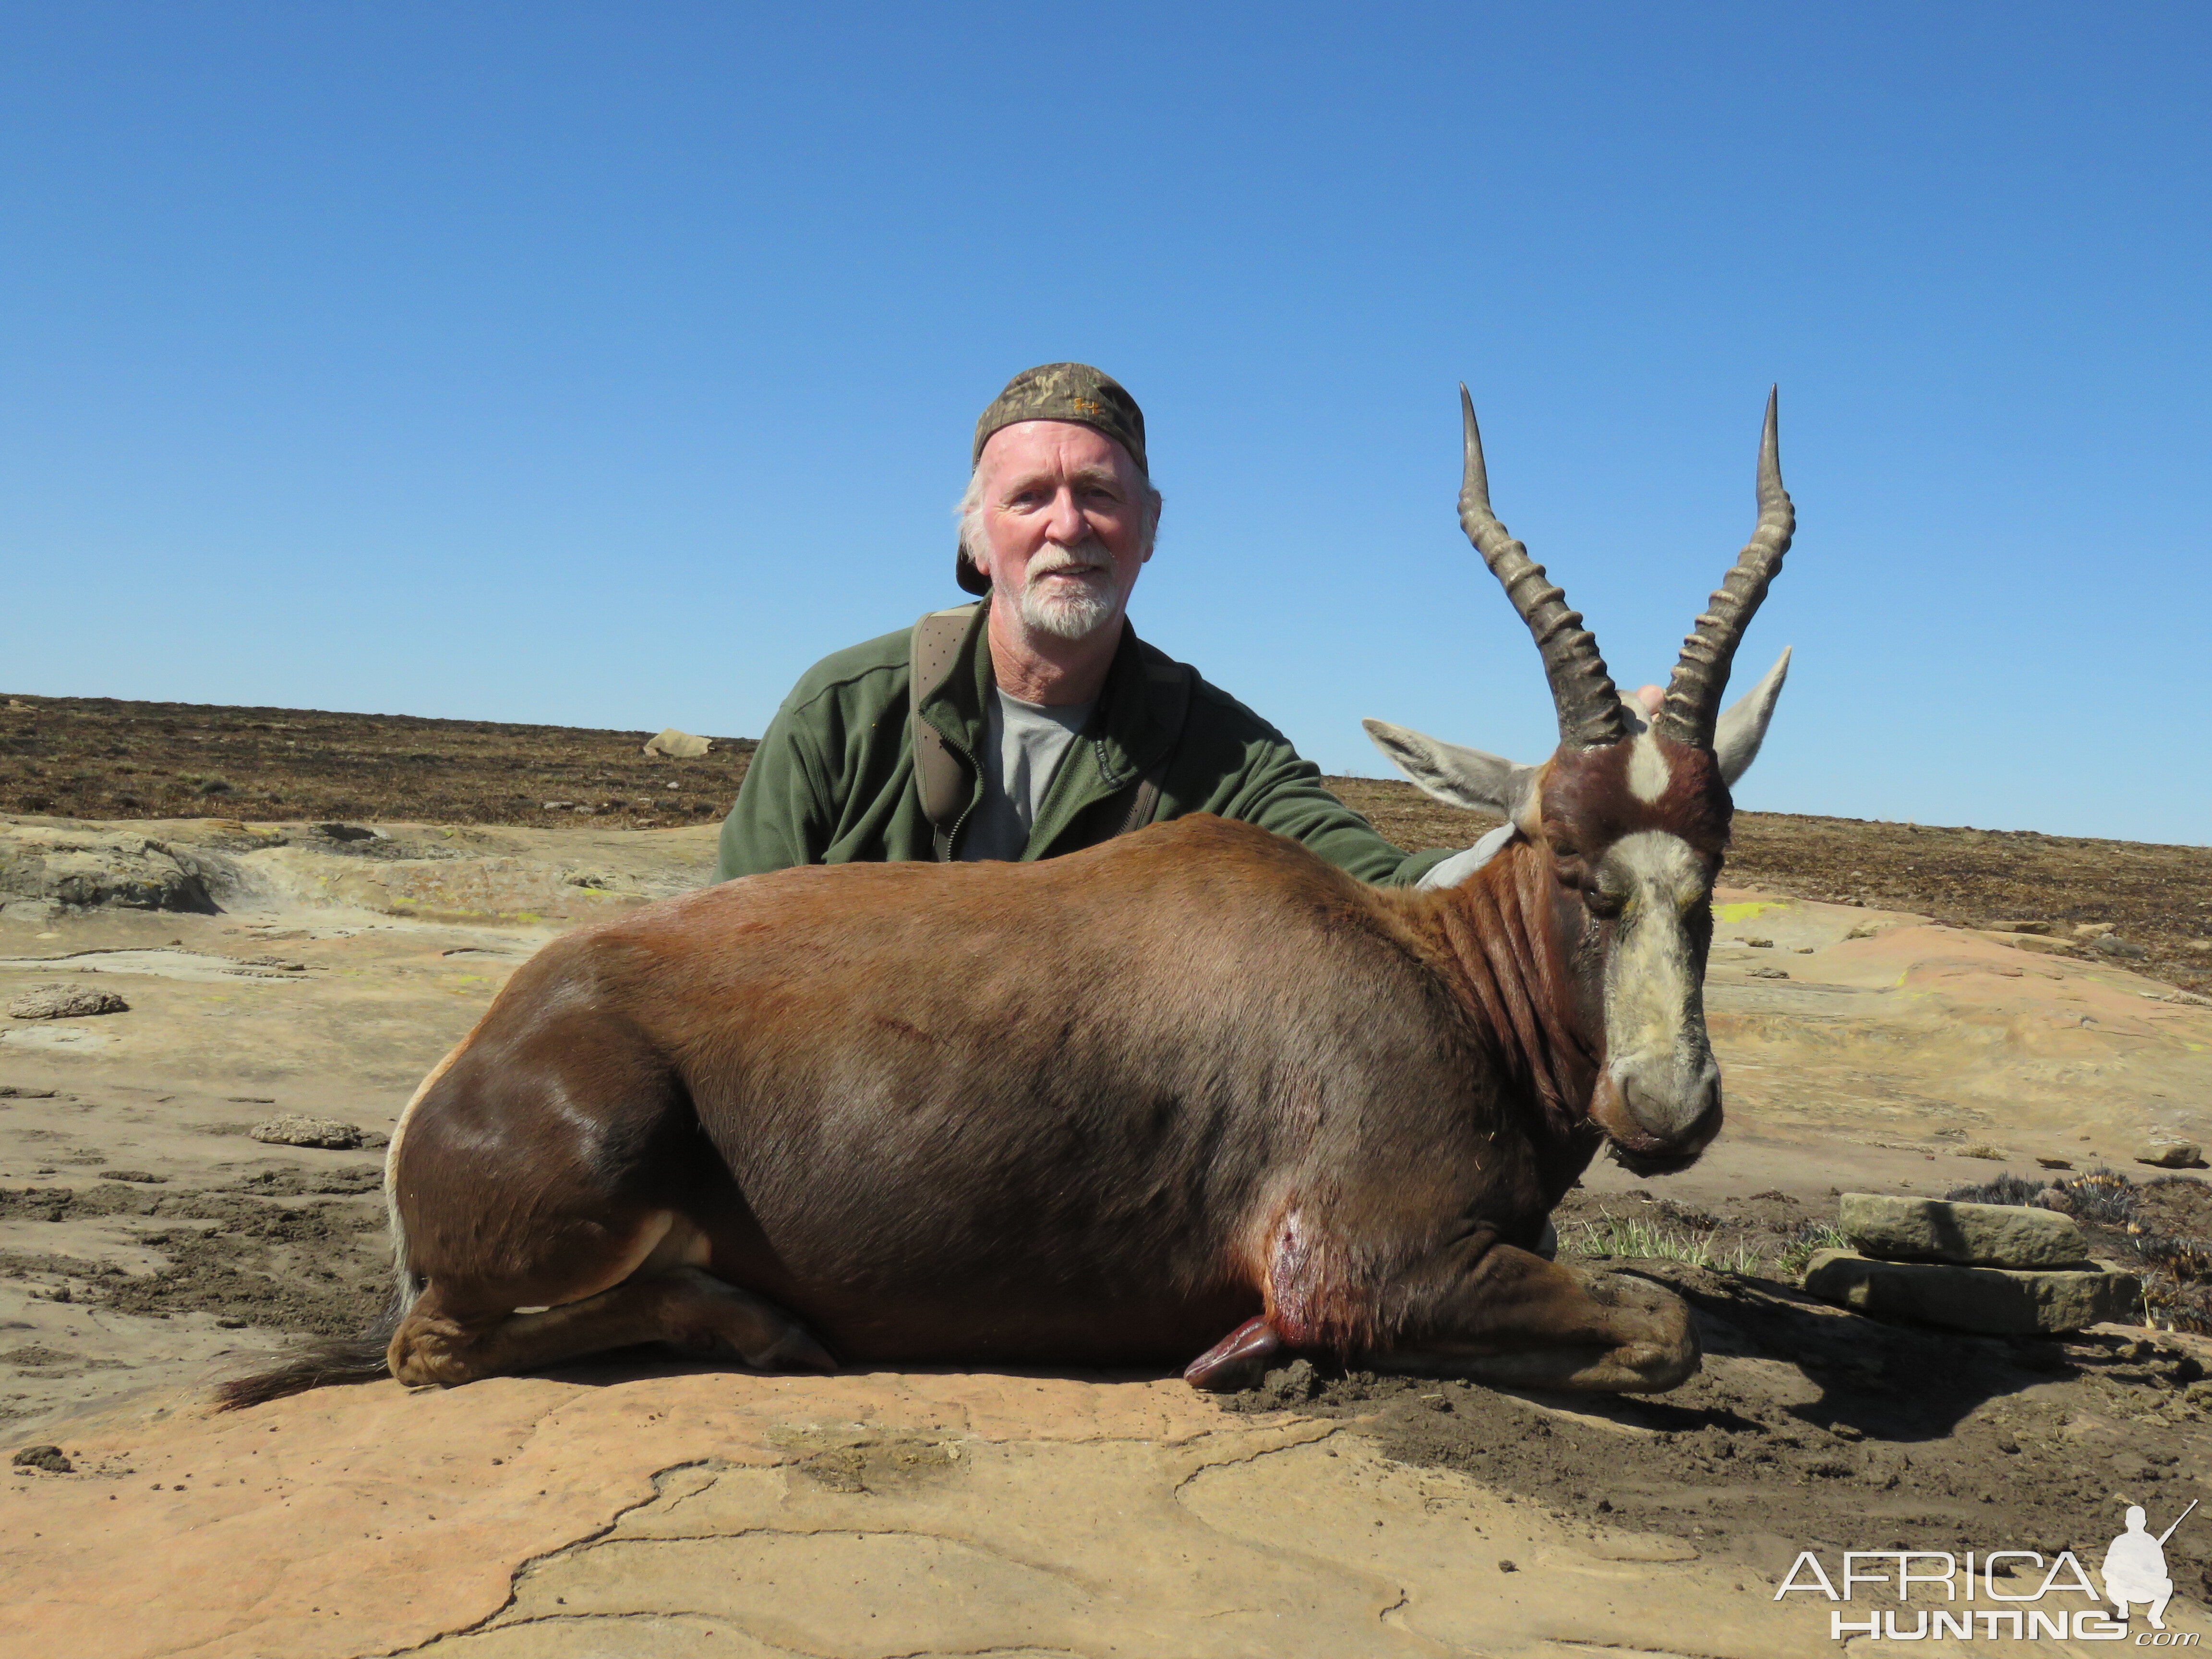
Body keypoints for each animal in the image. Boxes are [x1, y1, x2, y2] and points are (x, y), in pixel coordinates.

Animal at [216, 383, 1787, 1407]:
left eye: (1711, 868)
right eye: (1574, 865)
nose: (1669, 1109)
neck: (1427, 966)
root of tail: (482, 1049)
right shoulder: (1370, 1261)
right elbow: (1656, 1324)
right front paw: (1242, 1352)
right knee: (431, 1349)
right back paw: (771, 1333)